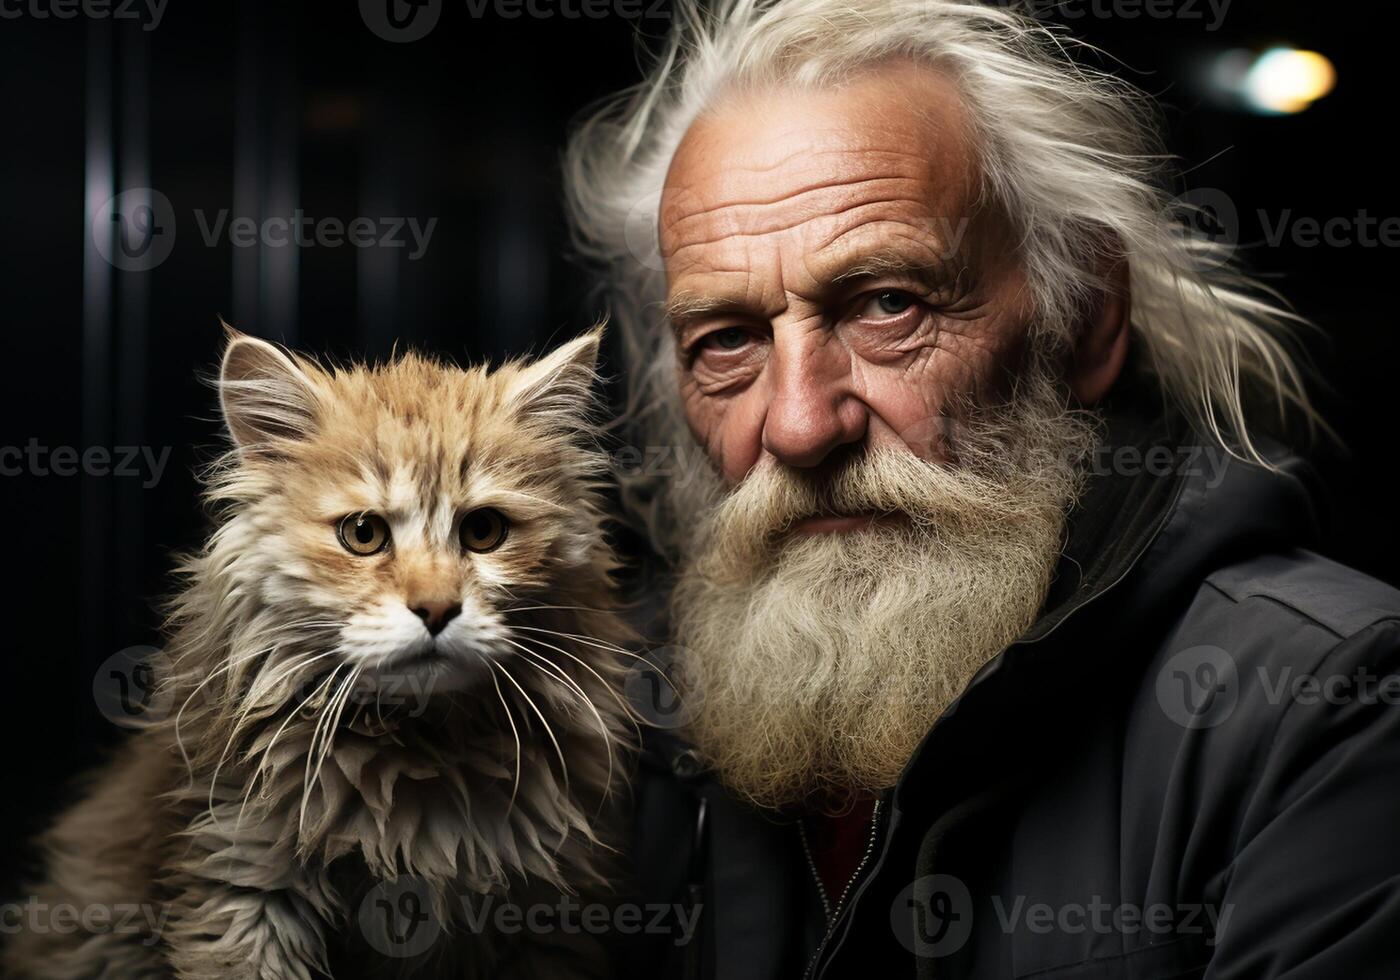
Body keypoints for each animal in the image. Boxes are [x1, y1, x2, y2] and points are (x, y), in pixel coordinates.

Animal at [1, 329, 635, 980]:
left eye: (483, 532)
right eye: (363, 535)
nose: (436, 609)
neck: (418, 756)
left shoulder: (547, 914)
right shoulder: (243, 880)